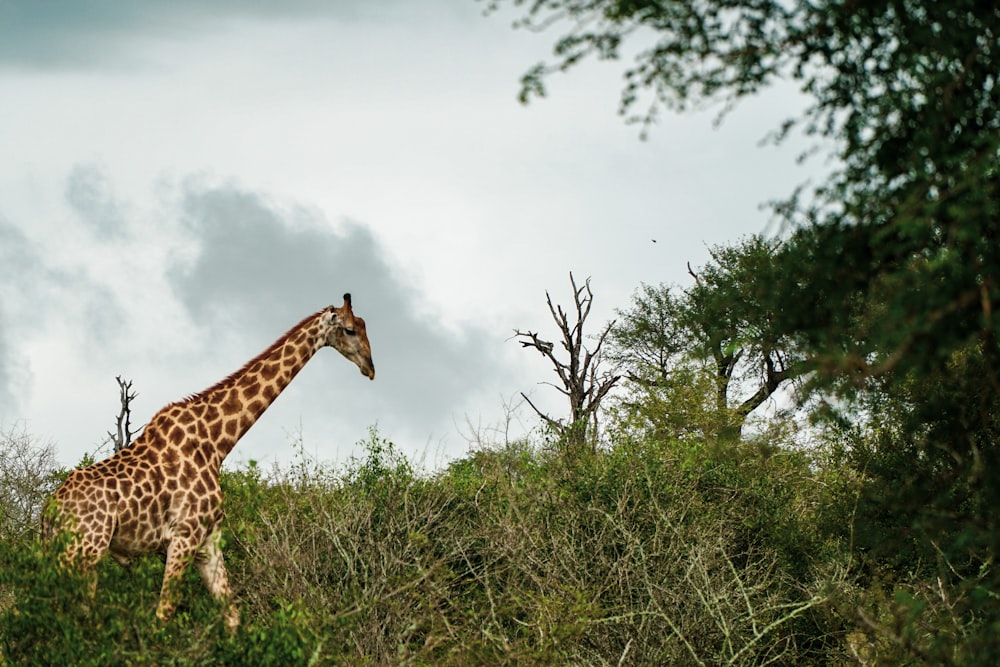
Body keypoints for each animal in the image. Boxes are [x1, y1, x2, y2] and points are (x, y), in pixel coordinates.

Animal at [43, 294, 376, 632]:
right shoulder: (183, 535)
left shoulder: (208, 542)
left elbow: (233, 617)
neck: (216, 443)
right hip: (84, 552)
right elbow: (163, 613)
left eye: (364, 327)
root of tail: (49, 511)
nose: (370, 368)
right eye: (350, 329)